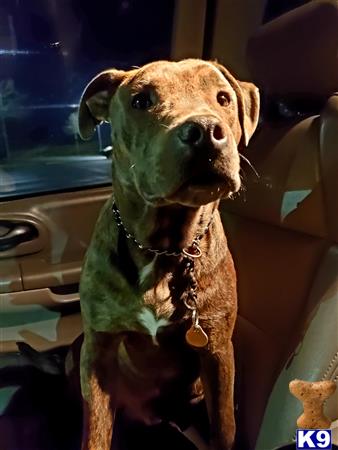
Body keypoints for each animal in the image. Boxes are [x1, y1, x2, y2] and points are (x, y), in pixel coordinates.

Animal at [78, 59, 260, 450]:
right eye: (141, 100)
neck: (163, 247)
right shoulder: (97, 350)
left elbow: (225, 426)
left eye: (223, 98)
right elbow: (96, 430)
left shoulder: (217, 351)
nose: (205, 130)